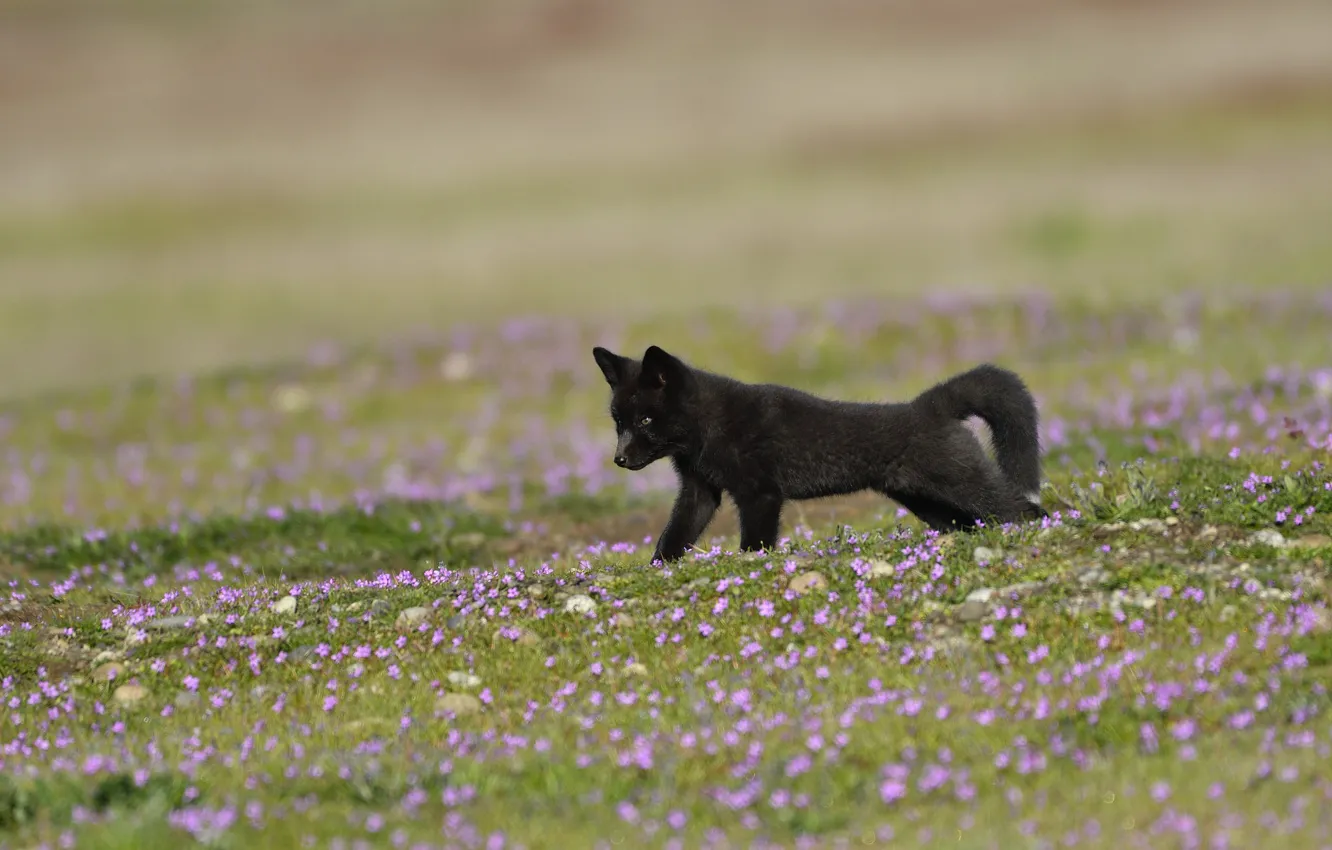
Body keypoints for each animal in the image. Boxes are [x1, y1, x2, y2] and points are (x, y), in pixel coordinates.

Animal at [592, 344, 1048, 564]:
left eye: (646, 420)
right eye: (618, 422)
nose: (619, 460)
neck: (707, 430)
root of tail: (928, 407)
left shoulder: (761, 494)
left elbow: (755, 544)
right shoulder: (699, 491)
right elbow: (673, 537)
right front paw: (657, 568)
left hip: (961, 485)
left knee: (1022, 508)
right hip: (929, 503)